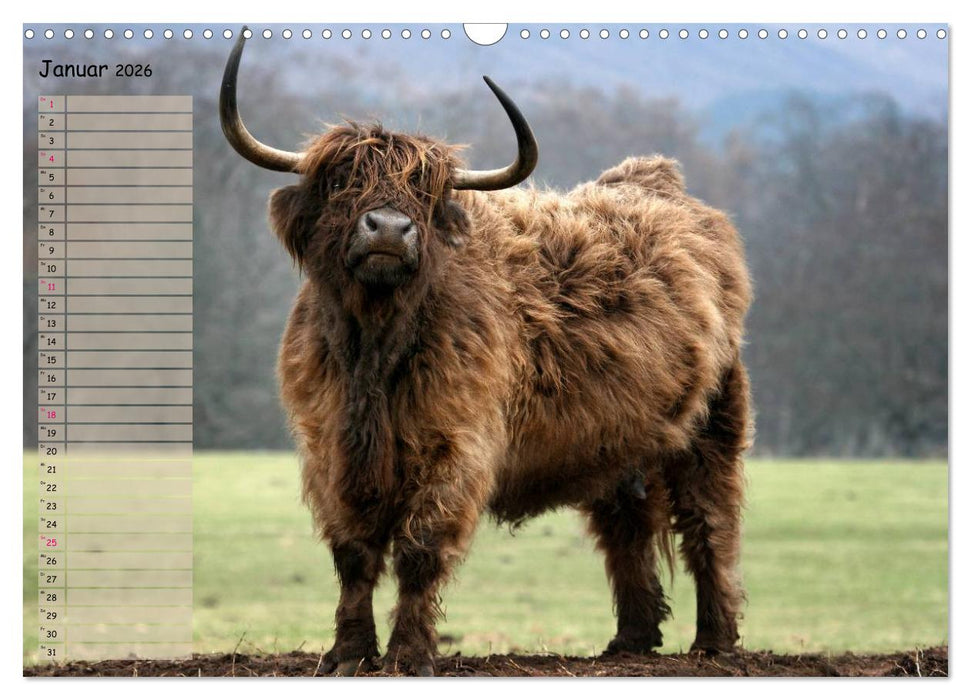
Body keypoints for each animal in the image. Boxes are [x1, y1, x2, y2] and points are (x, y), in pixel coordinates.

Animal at [219, 30, 752, 676]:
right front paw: (348, 653)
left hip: (713, 424)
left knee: (709, 524)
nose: (389, 229)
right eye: (341, 182)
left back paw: (714, 643)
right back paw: (629, 640)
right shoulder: (329, 450)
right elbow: (353, 553)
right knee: (626, 526)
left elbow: (420, 550)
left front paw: (409, 655)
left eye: (425, 193)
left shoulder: (458, 446)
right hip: (617, 438)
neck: (374, 349)